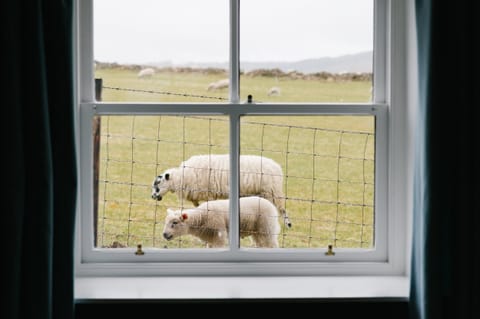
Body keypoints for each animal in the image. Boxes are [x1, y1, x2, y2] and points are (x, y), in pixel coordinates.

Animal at [152, 154, 290, 229]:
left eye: (157, 183)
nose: (153, 196)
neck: (181, 177)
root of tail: (277, 167)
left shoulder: (209, 193)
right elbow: (197, 205)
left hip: (272, 192)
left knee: (282, 209)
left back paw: (288, 224)